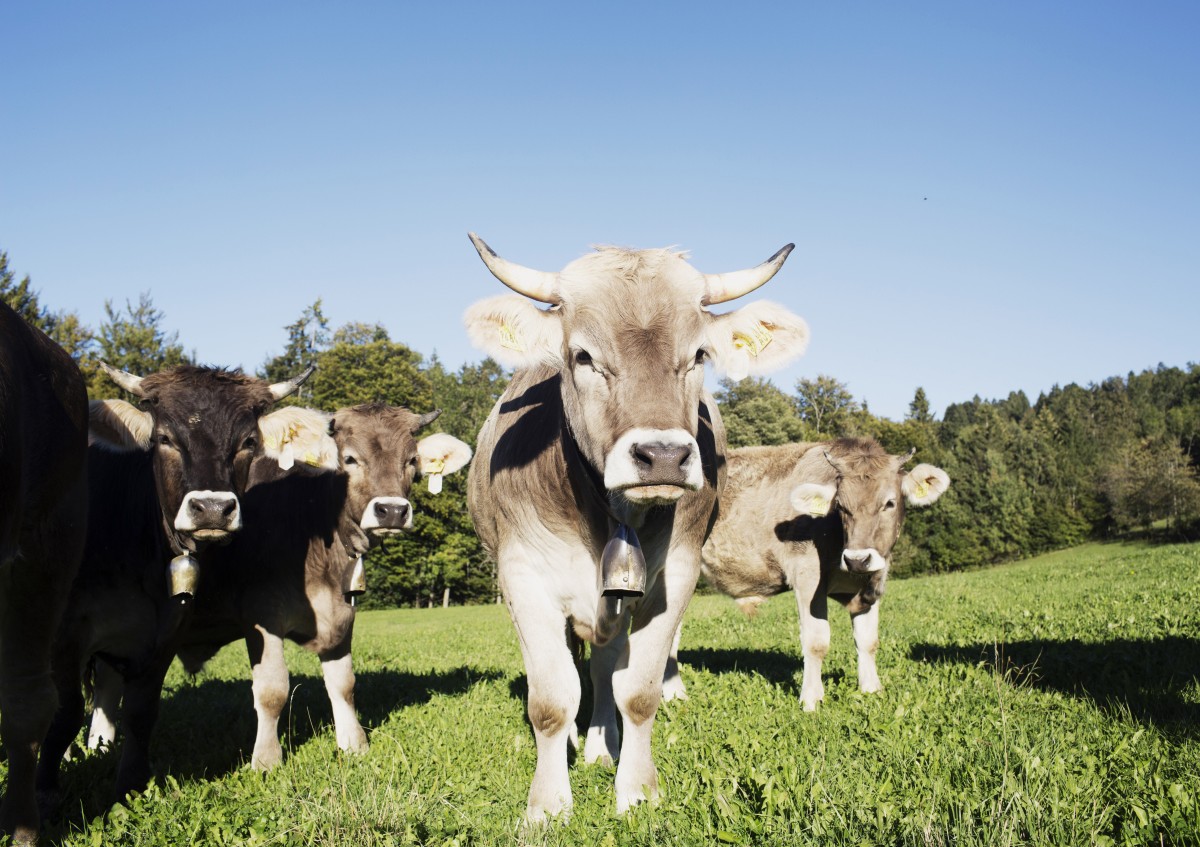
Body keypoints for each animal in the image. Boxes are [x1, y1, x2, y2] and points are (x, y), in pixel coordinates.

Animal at [36, 359, 312, 801]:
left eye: (249, 441)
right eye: (164, 438)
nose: (212, 509)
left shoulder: (164, 632)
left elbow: (140, 712)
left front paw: (130, 785)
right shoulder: (63, 633)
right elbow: (63, 714)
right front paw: (44, 792)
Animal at [463, 233, 811, 820]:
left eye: (699, 355)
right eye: (582, 355)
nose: (664, 456)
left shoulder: (674, 575)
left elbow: (637, 690)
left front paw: (637, 790)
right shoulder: (522, 575)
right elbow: (551, 700)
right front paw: (547, 806)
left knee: (605, 667)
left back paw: (601, 745)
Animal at [667, 439, 945, 710]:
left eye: (889, 503)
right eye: (841, 506)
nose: (857, 559)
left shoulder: (871, 583)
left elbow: (868, 640)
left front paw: (871, 690)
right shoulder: (807, 576)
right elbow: (816, 642)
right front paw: (811, 699)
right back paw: (673, 694)